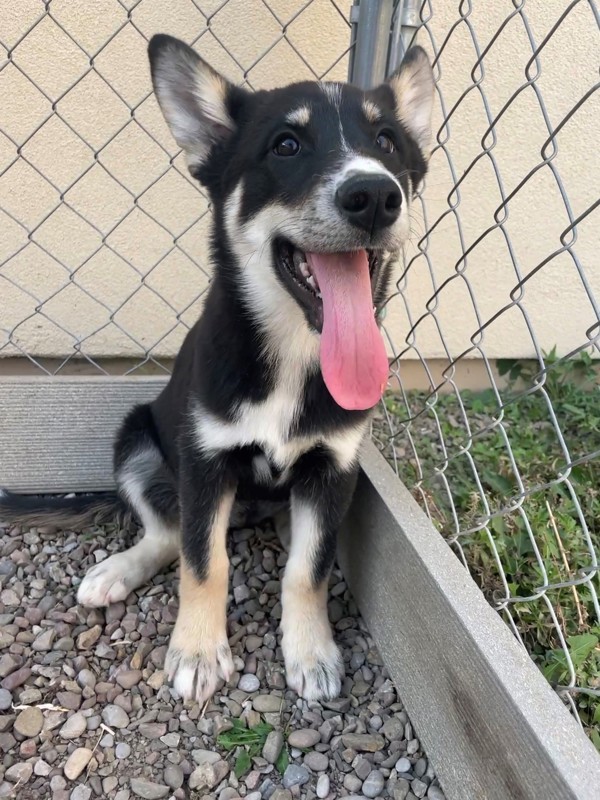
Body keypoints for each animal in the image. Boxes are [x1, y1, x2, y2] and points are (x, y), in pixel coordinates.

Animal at [0, 34, 432, 704]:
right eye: (286, 145)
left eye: (387, 141)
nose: (376, 196)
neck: (293, 355)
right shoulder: (204, 462)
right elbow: (205, 561)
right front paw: (199, 651)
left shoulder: (333, 469)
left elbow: (308, 569)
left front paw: (311, 650)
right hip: (137, 439)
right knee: (167, 534)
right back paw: (118, 570)